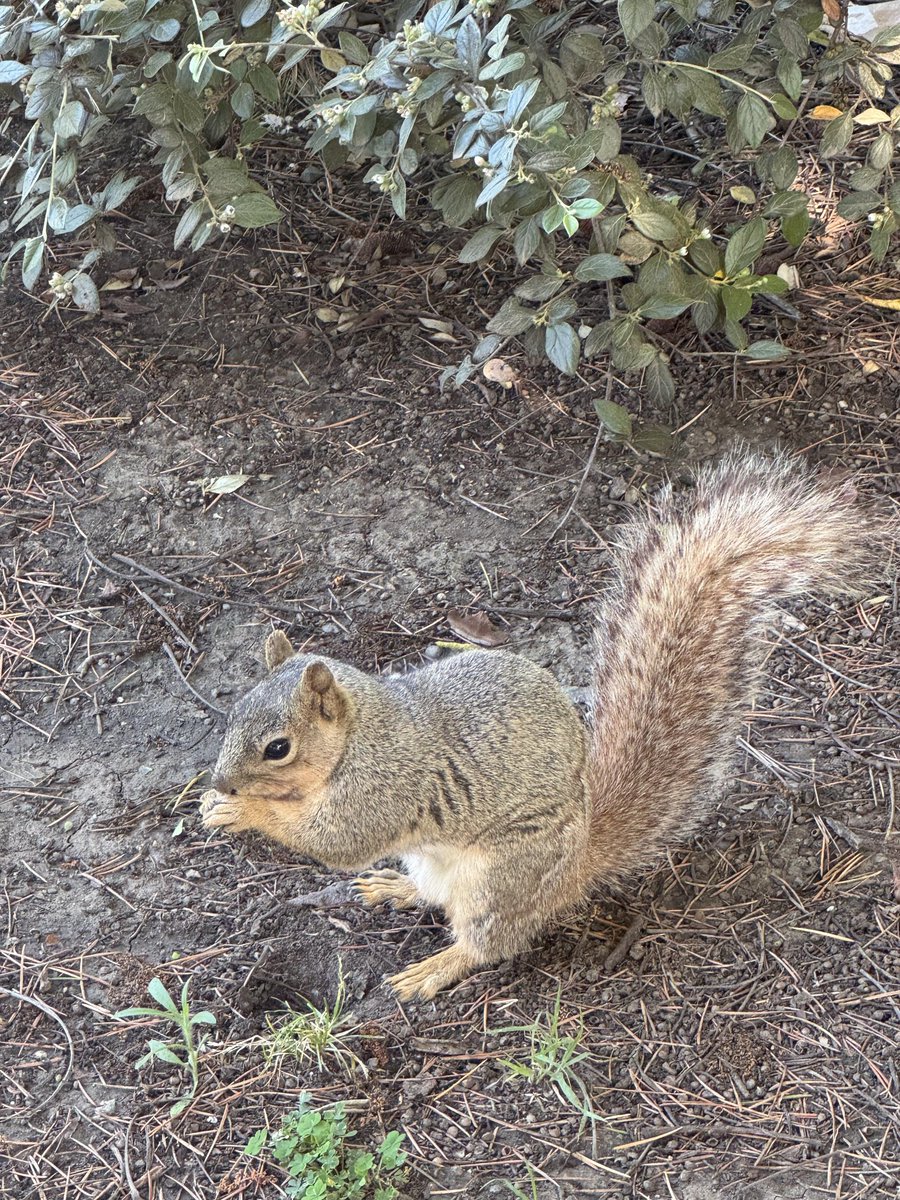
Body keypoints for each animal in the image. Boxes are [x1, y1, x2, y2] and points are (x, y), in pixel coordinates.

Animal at [200, 451, 896, 1002]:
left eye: (278, 747)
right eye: (232, 714)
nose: (223, 781)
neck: (359, 731)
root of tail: (575, 866)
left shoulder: (385, 781)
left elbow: (337, 839)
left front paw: (244, 810)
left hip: (504, 876)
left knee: (489, 941)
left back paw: (436, 967)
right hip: (440, 863)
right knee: (435, 897)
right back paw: (396, 889)